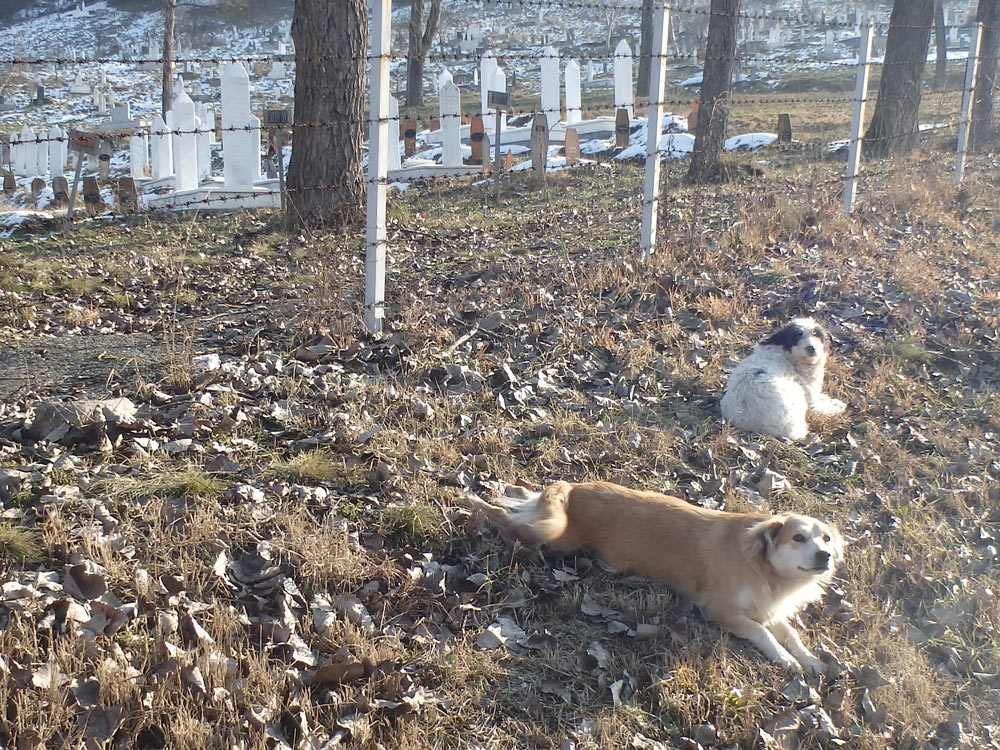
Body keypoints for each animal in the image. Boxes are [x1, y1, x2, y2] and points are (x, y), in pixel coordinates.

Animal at [464, 482, 840, 676]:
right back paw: (470, 500)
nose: (826, 556)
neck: (764, 566)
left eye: (826, 538)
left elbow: (791, 634)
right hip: (554, 536)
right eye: (798, 538)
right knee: (504, 518)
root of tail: (576, 488)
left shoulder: (768, 609)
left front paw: (810, 660)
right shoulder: (721, 611)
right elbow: (764, 634)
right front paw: (787, 660)